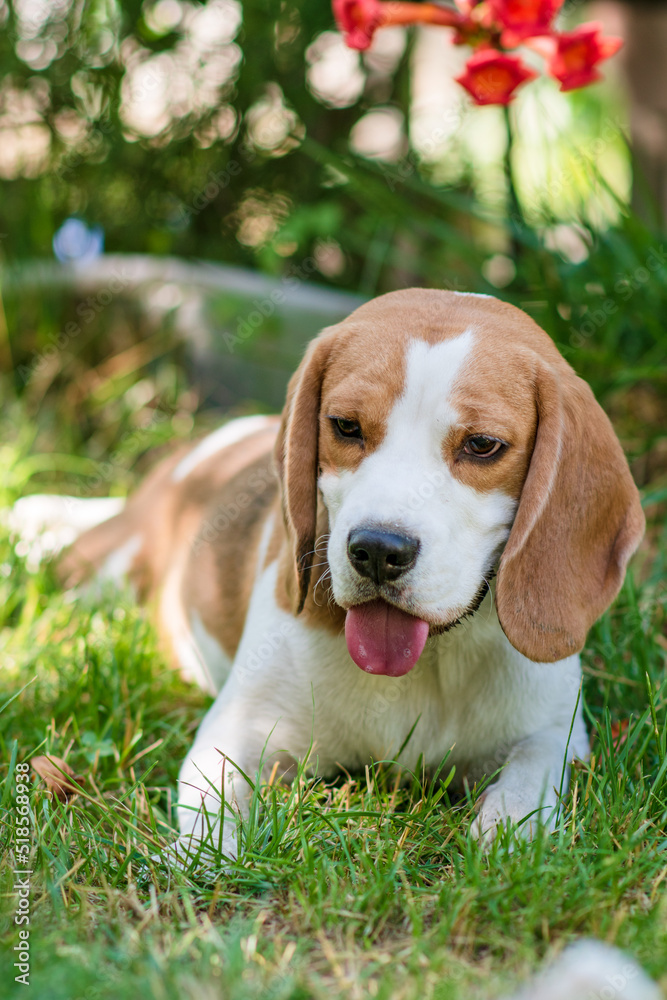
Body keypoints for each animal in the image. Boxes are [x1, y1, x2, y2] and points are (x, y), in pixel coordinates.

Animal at [11, 288, 648, 852]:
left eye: (483, 445)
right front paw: (198, 869)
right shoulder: (234, 731)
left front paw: (505, 841)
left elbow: (526, 787)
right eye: (345, 426)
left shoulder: (557, 736)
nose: (378, 551)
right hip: (103, 572)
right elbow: (213, 828)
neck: (431, 665)